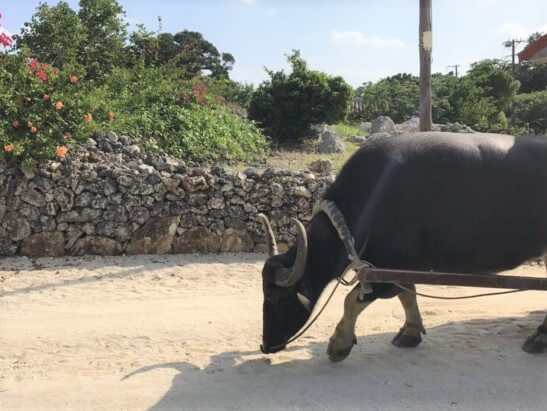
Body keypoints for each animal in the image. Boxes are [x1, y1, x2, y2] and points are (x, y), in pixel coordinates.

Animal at [258, 132, 547, 360]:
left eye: (274, 296)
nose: (266, 345)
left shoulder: (386, 272)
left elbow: (352, 299)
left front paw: (339, 344)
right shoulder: (400, 267)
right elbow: (408, 295)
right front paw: (410, 332)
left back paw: (538, 339)